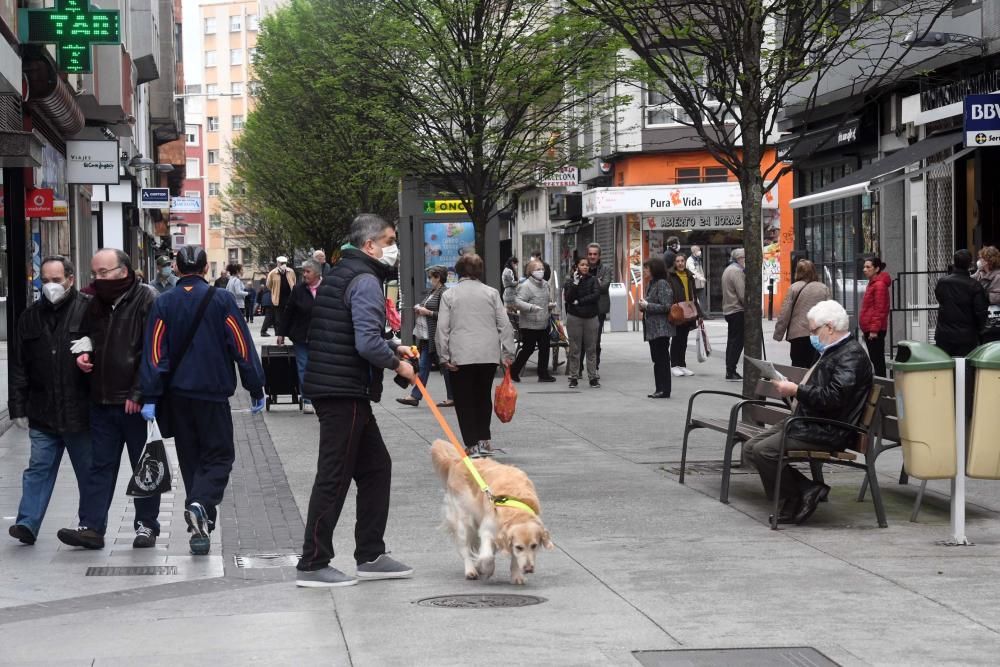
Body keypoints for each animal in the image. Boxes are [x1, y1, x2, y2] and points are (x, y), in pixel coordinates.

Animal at [430, 440, 556, 588]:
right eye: (519, 547)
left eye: (534, 546)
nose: (529, 569)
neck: (514, 505)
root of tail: (458, 461)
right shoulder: (487, 531)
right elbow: (487, 556)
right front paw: (487, 569)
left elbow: (512, 558)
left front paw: (517, 576)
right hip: (463, 520)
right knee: (465, 549)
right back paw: (471, 570)